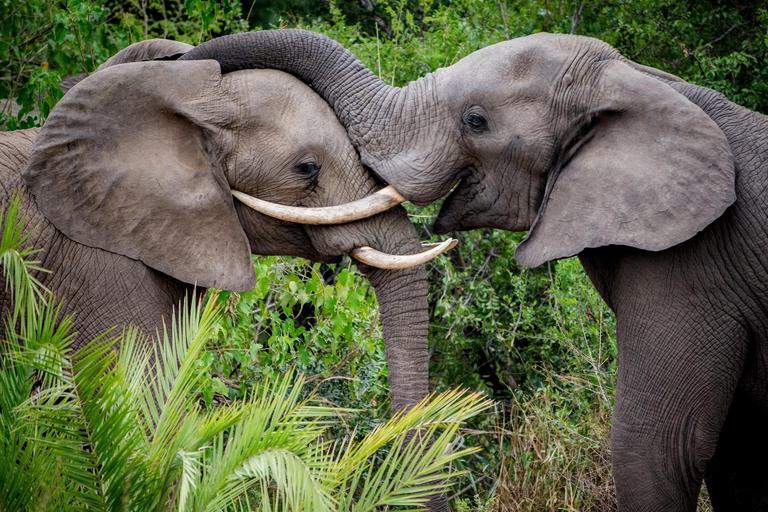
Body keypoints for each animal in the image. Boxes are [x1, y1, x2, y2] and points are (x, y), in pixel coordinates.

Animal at [179, 30, 768, 511]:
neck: (638, 79)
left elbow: (659, 445)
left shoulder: (693, 261)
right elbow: (732, 452)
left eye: (475, 121)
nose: (183, 59)